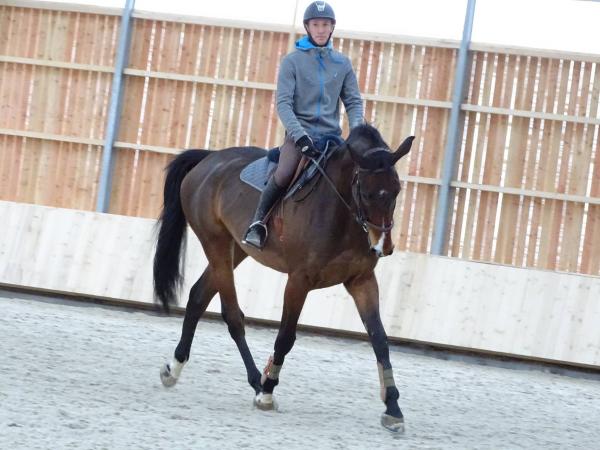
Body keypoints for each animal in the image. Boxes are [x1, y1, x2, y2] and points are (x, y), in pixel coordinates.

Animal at [155, 123, 414, 432]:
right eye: (365, 192)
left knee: (197, 296)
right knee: (232, 316)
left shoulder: (361, 280)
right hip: (215, 244)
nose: (383, 246)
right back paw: (257, 383)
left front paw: (393, 408)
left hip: (235, 250)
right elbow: (286, 337)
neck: (341, 214)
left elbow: (380, 340)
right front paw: (267, 392)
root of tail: (209, 159)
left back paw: (173, 368)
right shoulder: (298, 281)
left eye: (396, 190)